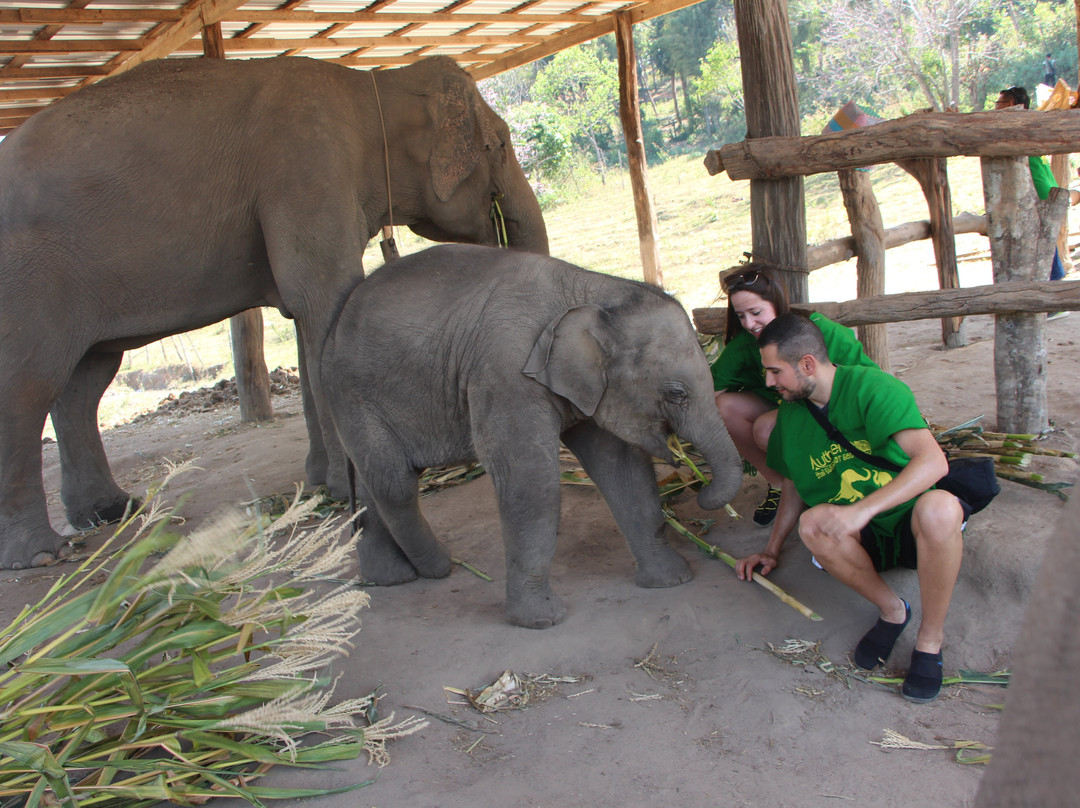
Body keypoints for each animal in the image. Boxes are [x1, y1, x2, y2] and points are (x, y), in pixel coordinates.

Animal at [0, 55, 548, 566]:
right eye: (499, 145)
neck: (373, 83)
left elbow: (307, 320)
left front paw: (317, 484)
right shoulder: (307, 168)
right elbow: (324, 298)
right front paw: (345, 493)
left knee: (81, 384)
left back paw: (113, 512)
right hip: (26, 281)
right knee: (28, 386)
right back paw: (42, 555)